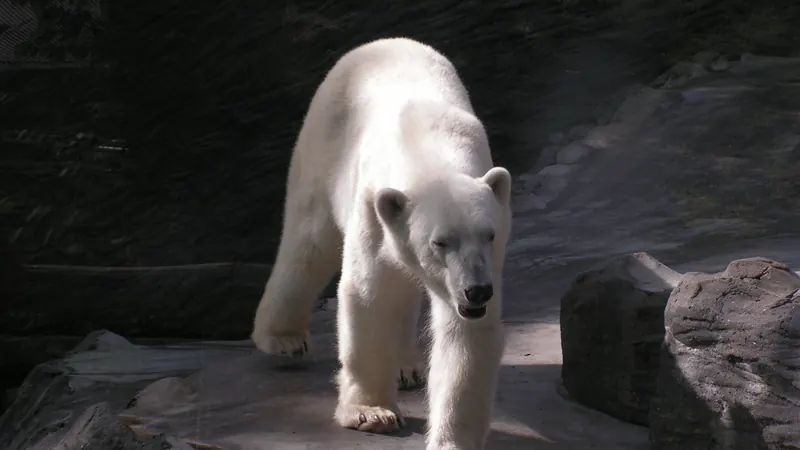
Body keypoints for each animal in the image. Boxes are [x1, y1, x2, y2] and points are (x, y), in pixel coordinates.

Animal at [251, 37, 512, 450]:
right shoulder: (373, 206)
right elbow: (370, 295)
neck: (427, 148)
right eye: (440, 242)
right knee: (308, 243)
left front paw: (451, 439)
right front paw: (371, 413)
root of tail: (379, 43)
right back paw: (282, 338)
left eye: (489, 234)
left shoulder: (488, 257)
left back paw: (407, 367)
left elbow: (464, 331)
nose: (476, 291)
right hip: (324, 145)